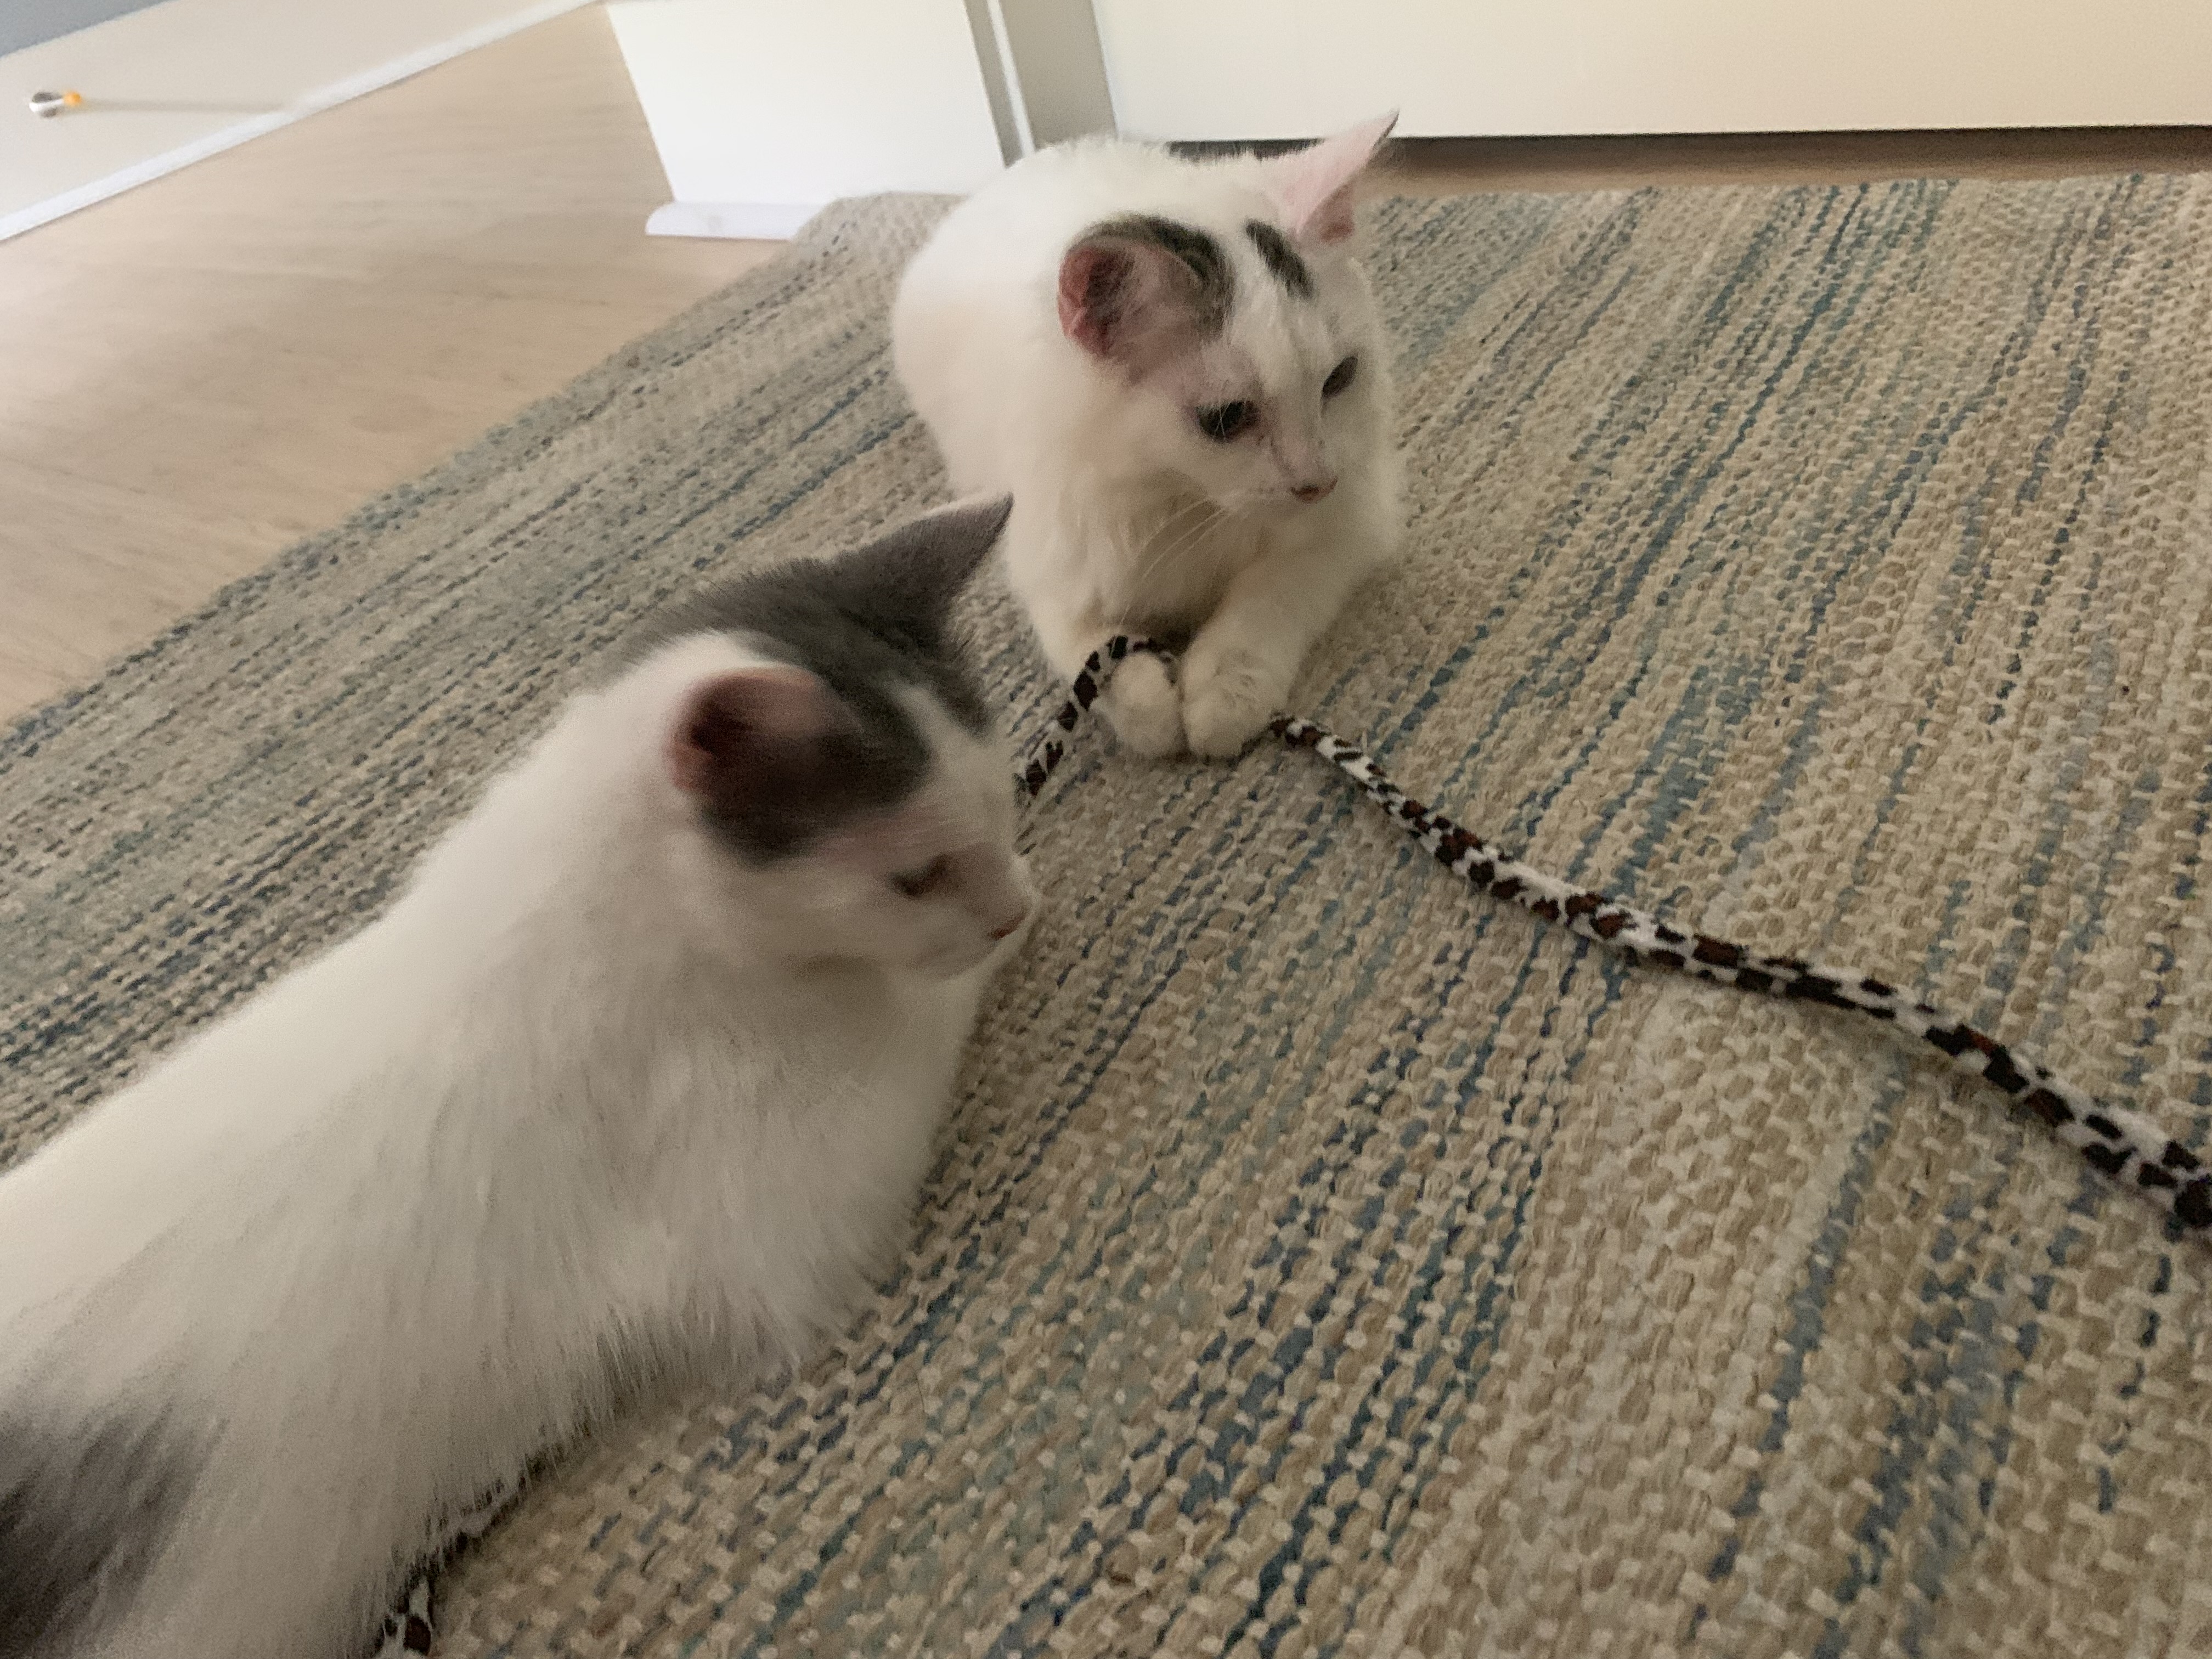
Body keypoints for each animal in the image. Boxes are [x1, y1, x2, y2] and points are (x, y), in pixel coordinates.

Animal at [0, 498, 1032, 1659]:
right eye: (915, 875)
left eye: (994, 805)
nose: (1007, 910)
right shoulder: (771, 1212)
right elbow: (903, 1027)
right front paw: (982, 944)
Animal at [893, 115, 1403, 761]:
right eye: (1225, 419)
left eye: (1339, 379)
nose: (1317, 482)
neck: (1180, 499)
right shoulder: (1051, 570)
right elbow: (1095, 659)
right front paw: (1152, 711)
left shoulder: (1349, 524)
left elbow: (1271, 599)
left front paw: (1223, 693)